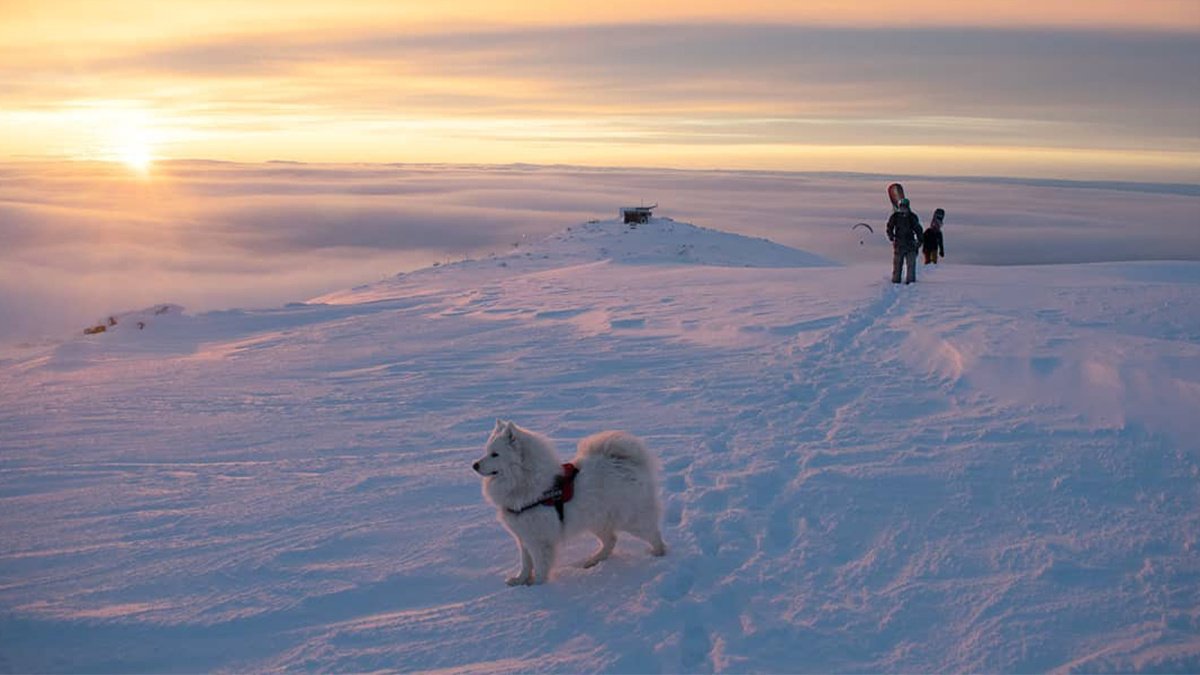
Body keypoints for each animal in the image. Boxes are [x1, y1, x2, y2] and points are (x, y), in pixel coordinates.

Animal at [472, 417, 672, 581]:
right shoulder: (523, 536)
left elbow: (540, 566)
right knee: (611, 540)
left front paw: (538, 587)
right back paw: (593, 560)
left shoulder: (539, 540)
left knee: (653, 534)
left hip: (631, 520)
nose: (474, 465)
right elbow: (526, 564)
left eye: (495, 454)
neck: (523, 481)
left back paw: (658, 554)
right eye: (487, 451)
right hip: (597, 520)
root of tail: (625, 462)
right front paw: (520, 581)